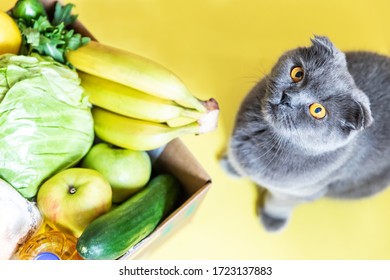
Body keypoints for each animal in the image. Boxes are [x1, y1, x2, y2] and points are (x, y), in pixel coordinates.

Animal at [221, 35, 390, 232]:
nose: (287, 97)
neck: (265, 134)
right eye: (297, 73)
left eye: (318, 110)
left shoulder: (301, 192)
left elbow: (278, 204)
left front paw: (272, 221)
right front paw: (231, 166)